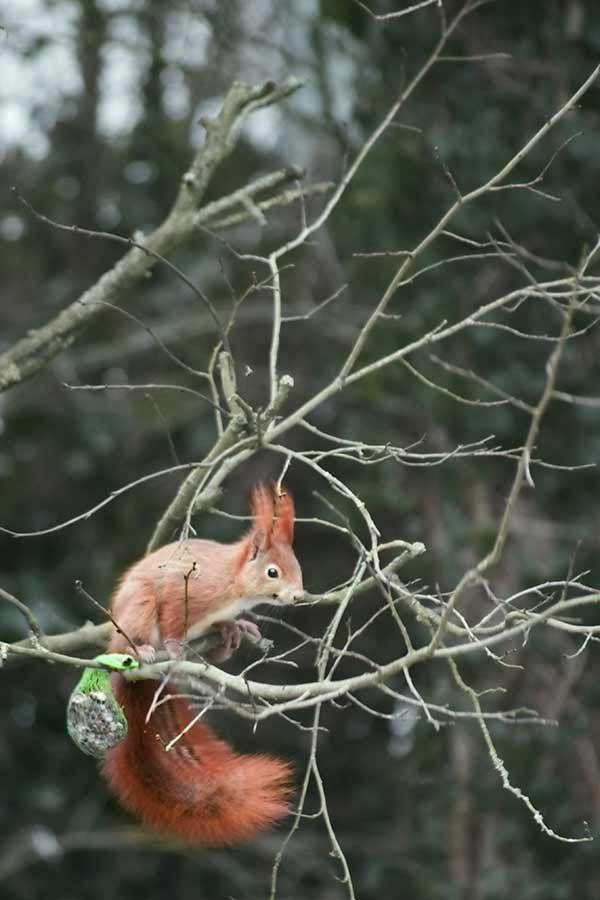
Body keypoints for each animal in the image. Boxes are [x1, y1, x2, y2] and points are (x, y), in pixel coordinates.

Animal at [102, 486, 304, 844]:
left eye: (297, 565)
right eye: (273, 572)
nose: (298, 596)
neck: (233, 586)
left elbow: (222, 623)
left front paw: (236, 626)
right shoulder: (185, 588)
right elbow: (171, 616)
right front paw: (171, 645)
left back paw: (229, 636)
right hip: (137, 608)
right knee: (137, 630)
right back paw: (144, 650)